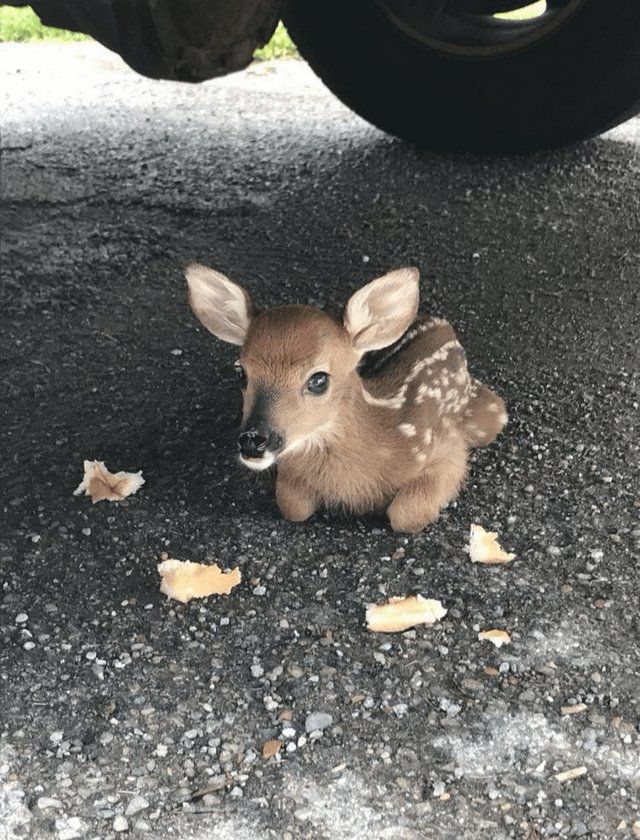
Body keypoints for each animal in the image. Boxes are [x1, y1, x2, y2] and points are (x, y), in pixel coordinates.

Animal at [185, 263, 507, 533]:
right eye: (241, 373)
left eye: (318, 380)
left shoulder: (446, 448)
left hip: (487, 417)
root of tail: (441, 323)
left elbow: (405, 515)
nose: (253, 440)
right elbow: (293, 506)